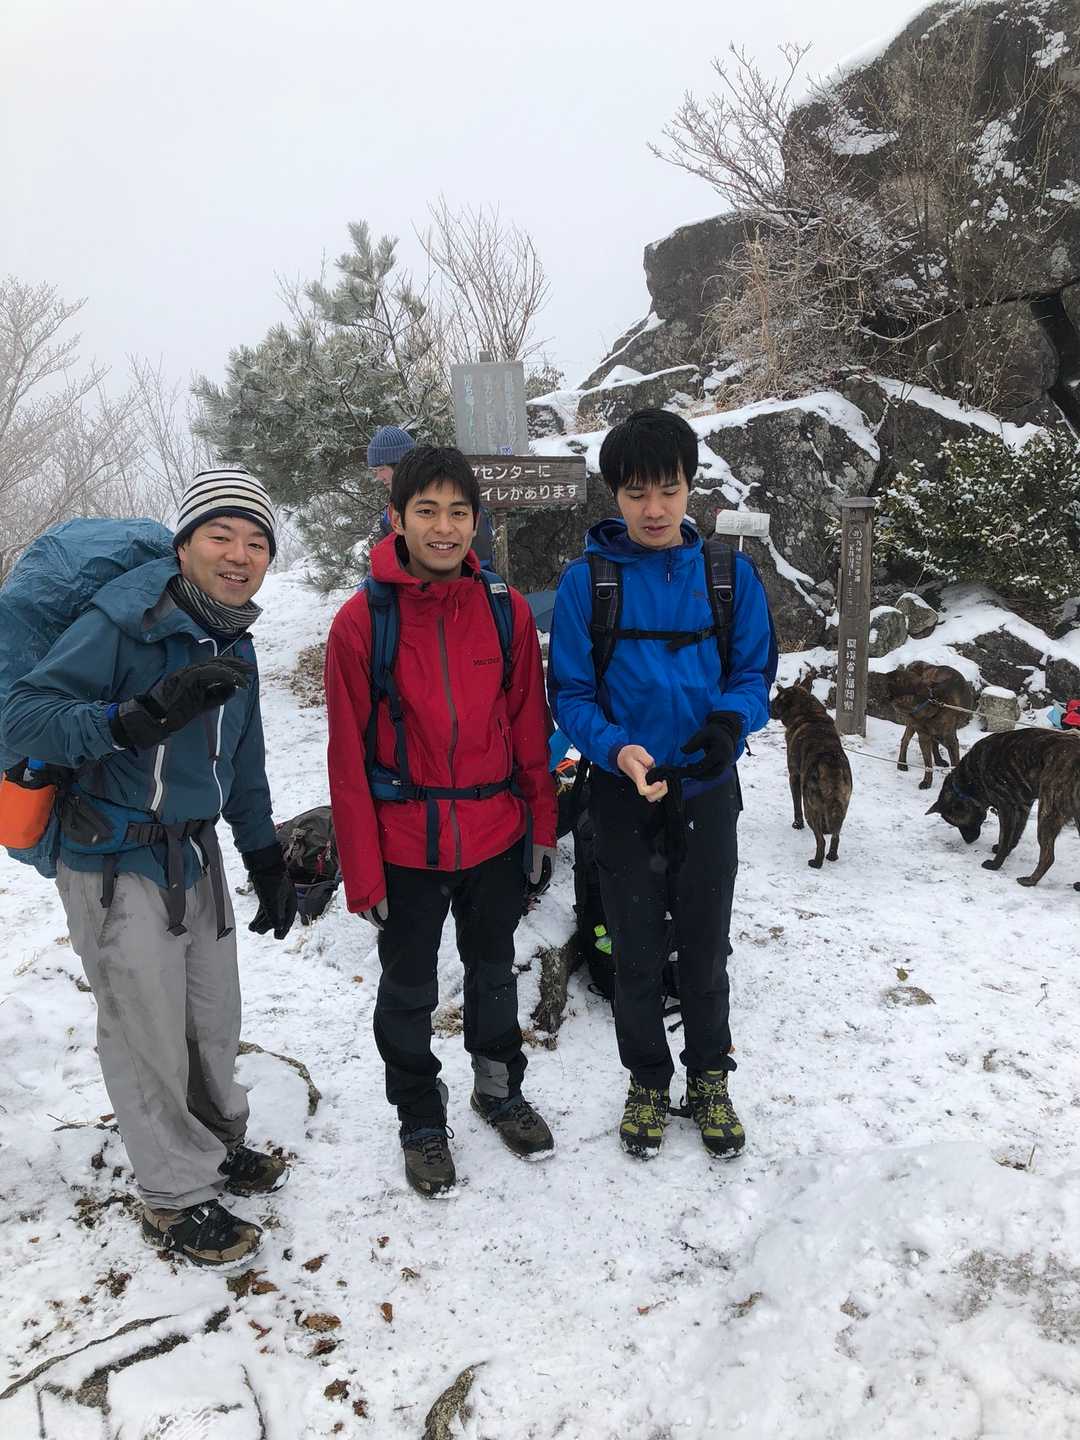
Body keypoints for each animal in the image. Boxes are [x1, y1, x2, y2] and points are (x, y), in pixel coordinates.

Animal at [770, 680, 853, 868]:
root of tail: (830, 762)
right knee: (836, 836)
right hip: (842, 805)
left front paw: (797, 824)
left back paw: (816, 861)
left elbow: (796, 804)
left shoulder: (794, 776)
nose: (768, 708)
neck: (807, 712)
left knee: (820, 840)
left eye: (776, 702)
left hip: (810, 805)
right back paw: (832, 855)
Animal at [886, 661, 973, 790]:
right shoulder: (923, 737)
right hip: (912, 726)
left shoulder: (951, 741)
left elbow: (954, 762)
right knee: (905, 740)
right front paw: (927, 782)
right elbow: (928, 763)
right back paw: (902, 763)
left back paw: (938, 760)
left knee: (934, 742)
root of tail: (930, 666)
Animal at [927, 729, 1080, 889]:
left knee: (1048, 857)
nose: (968, 841)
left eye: (959, 824)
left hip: (1046, 814)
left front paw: (995, 864)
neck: (971, 780)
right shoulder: (1023, 807)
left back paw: (1030, 880)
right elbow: (1015, 834)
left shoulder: (1006, 807)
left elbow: (1004, 837)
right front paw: (1005, 851)